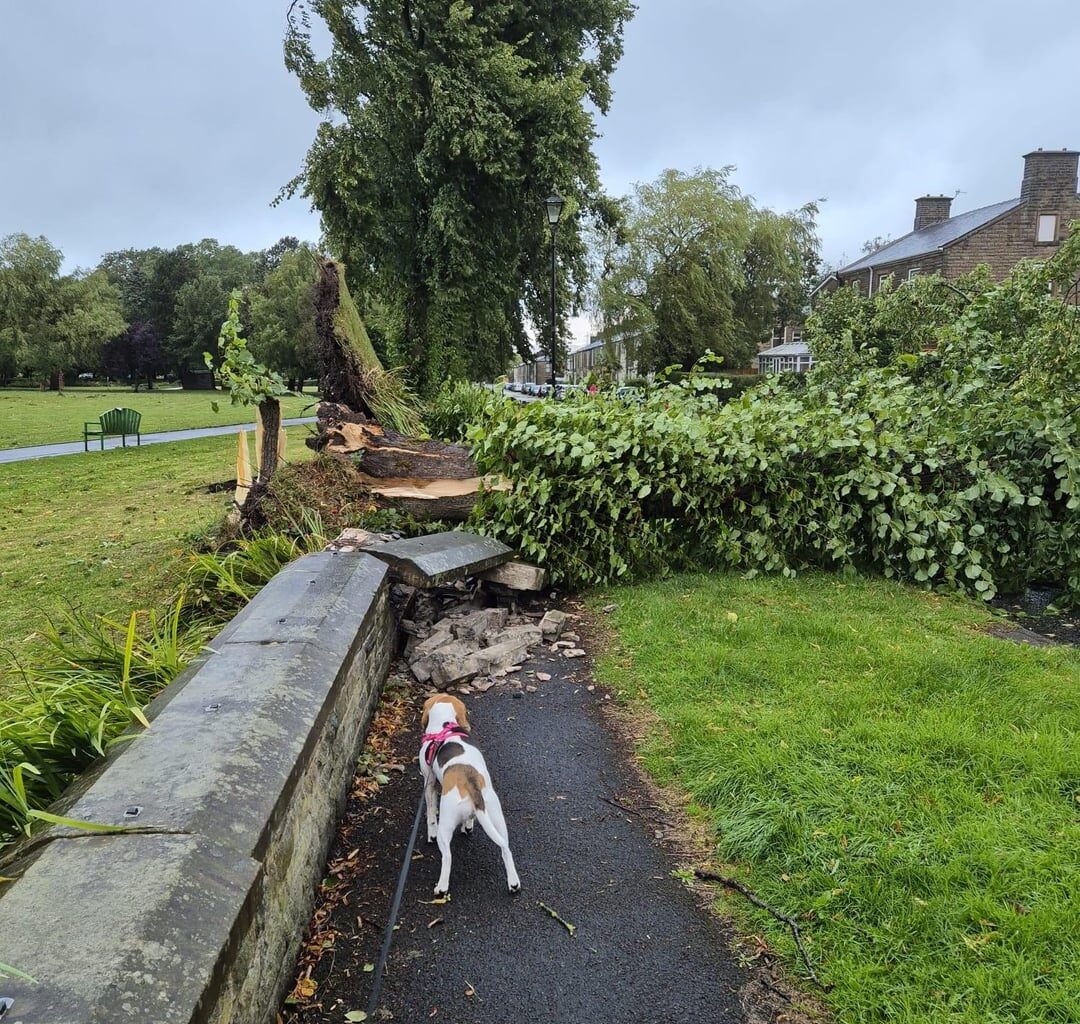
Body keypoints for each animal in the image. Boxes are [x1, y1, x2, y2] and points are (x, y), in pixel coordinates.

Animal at [419, 691, 520, 890]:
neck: (446, 725)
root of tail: (471, 782)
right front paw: (468, 825)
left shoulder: (429, 782)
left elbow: (431, 813)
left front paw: (430, 832)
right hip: (496, 817)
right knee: (505, 848)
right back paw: (513, 882)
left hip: (446, 824)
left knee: (447, 856)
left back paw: (441, 887)